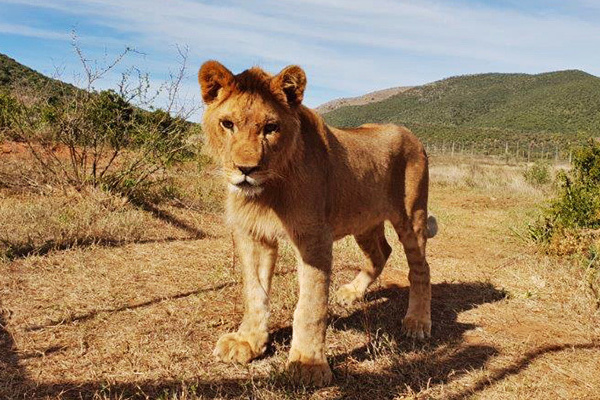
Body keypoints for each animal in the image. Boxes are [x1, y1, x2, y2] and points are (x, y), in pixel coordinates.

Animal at [199, 61, 438, 386]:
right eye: (227, 124)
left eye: (271, 128)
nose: (246, 169)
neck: (267, 192)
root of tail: (414, 137)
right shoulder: (253, 234)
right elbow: (254, 291)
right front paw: (248, 341)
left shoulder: (314, 238)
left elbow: (310, 305)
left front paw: (307, 364)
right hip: (363, 219)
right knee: (381, 252)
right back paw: (352, 293)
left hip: (411, 215)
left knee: (421, 267)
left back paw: (417, 322)